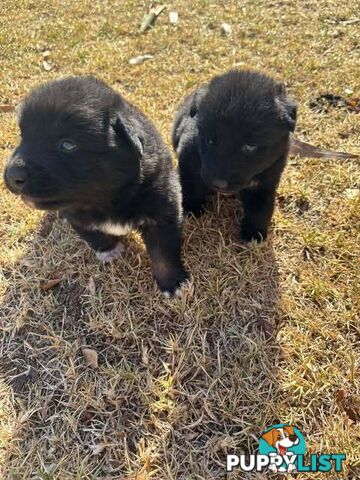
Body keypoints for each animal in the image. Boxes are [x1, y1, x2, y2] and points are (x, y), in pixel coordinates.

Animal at [4, 76, 187, 294]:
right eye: (22, 136)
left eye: (67, 145)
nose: (11, 176)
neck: (106, 199)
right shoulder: (76, 216)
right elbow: (92, 234)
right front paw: (109, 250)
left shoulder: (162, 208)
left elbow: (163, 253)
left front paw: (173, 283)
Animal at [173, 69, 296, 242]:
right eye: (209, 140)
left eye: (250, 147)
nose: (218, 184)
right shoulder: (188, 160)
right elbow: (191, 186)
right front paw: (192, 210)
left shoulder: (267, 179)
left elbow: (261, 208)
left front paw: (254, 234)